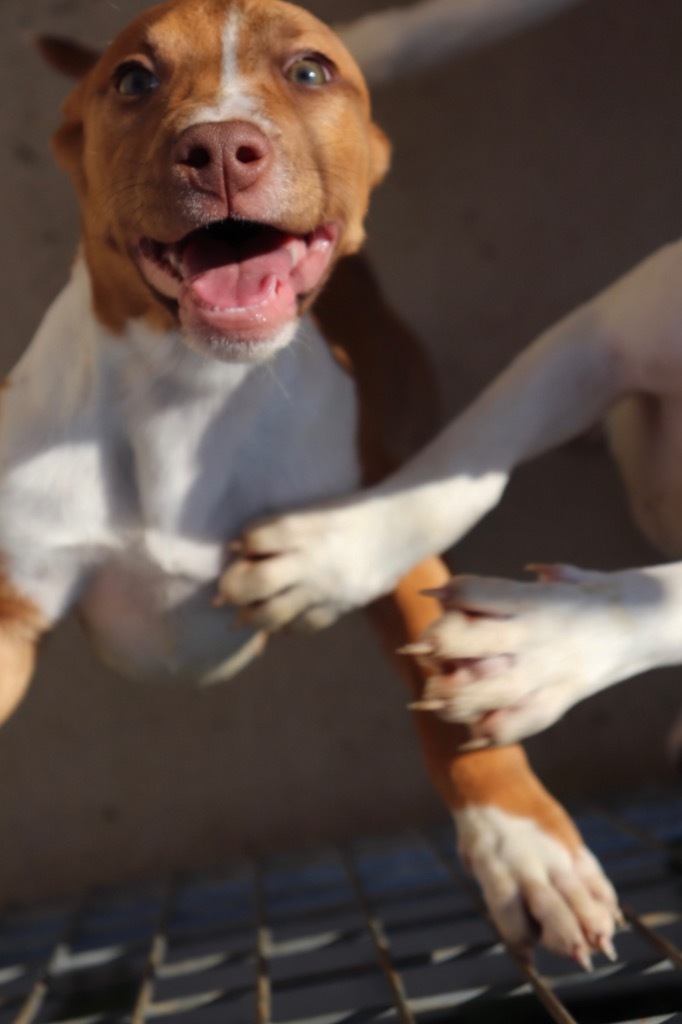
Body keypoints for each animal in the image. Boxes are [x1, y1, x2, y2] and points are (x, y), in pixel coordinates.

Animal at [2, 0, 614, 966]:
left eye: (311, 71)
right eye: (132, 78)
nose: (221, 148)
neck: (185, 392)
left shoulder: (385, 548)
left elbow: (453, 705)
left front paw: (528, 851)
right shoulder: (11, 613)